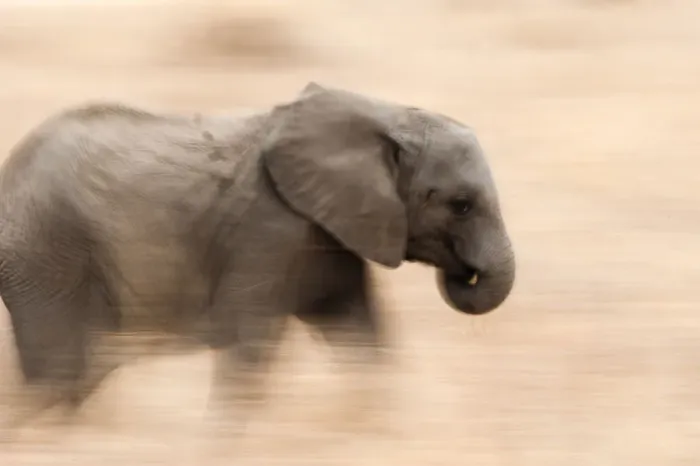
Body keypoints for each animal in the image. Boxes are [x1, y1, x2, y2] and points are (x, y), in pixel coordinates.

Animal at [0, 82, 515, 437]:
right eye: (461, 205)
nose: (463, 271)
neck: (384, 114)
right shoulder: (268, 229)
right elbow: (250, 339)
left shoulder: (332, 233)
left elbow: (360, 334)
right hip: (47, 253)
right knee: (61, 370)